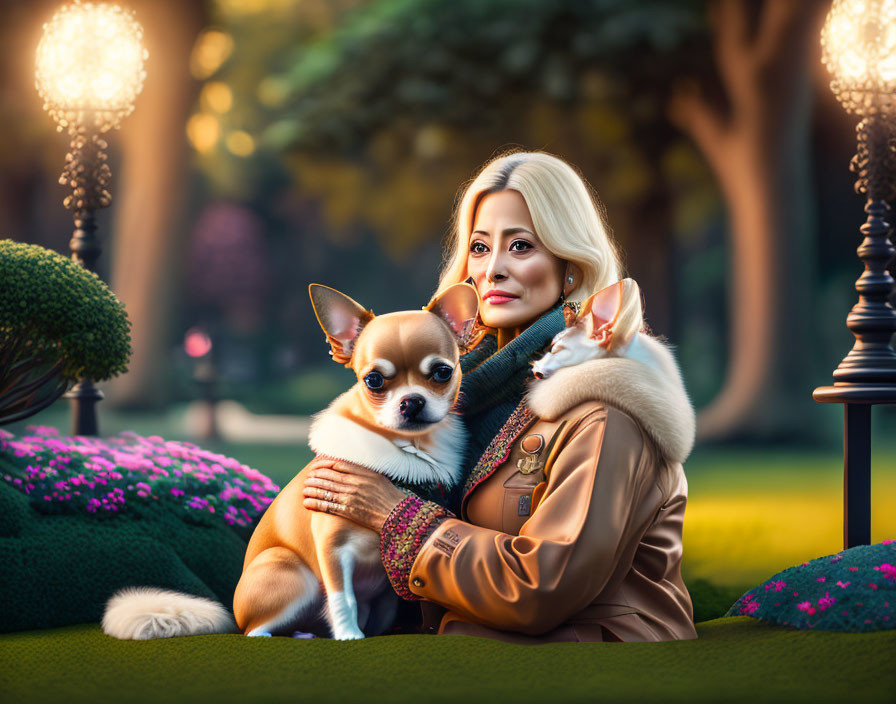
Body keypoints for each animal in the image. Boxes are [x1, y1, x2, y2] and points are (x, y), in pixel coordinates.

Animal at [103, 284, 484, 640]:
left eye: (442, 373)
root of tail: (235, 613)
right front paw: (349, 636)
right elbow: (343, 597)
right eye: (373, 380)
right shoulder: (332, 548)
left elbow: (378, 611)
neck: (409, 452)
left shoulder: (386, 590)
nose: (412, 402)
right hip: (293, 572)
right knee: (256, 630)